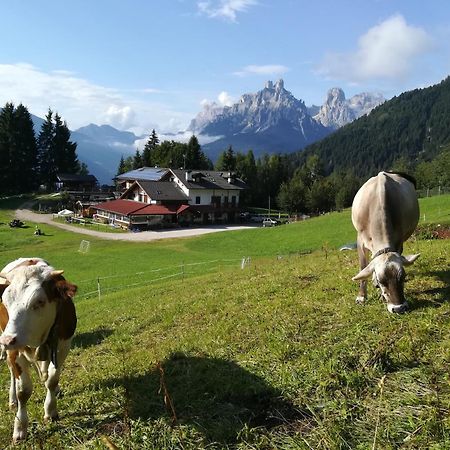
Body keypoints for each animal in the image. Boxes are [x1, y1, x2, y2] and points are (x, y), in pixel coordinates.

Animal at [0, 258, 77, 442]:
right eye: (5, 301)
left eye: (40, 301)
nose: (7, 340)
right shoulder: (15, 351)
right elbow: (24, 391)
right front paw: (20, 427)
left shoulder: (63, 346)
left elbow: (52, 380)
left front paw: (50, 410)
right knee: (12, 373)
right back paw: (12, 400)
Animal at [352, 172, 422, 312]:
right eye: (381, 281)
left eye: (403, 277)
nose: (399, 308)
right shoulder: (360, 240)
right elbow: (363, 267)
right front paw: (361, 297)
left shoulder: (399, 239)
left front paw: (381, 297)